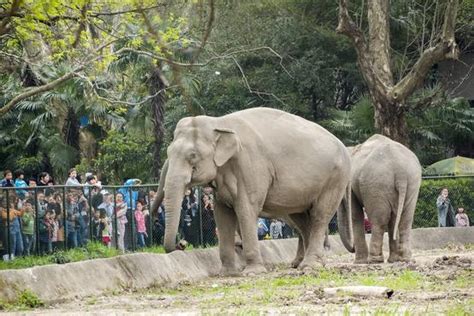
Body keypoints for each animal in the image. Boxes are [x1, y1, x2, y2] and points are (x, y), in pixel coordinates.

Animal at [151, 107, 352, 276]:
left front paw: (253, 272)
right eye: (169, 152)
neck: (219, 122)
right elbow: (222, 215)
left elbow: (246, 210)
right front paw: (227, 274)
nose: (182, 243)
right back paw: (306, 263)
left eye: (193, 156)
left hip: (334, 179)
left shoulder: (251, 166)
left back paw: (310, 266)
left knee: (319, 216)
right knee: (302, 221)